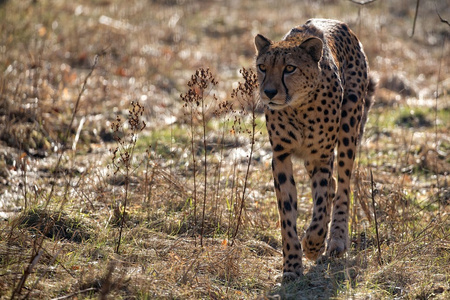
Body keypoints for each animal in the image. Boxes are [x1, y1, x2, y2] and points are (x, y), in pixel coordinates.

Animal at [255, 18, 374, 278]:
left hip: (349, 127)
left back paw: (337, 240)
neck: (298, 108)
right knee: (332, 185)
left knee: (342, 186)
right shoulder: (280, 156)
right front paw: (291, 266)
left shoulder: (322, 156)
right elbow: (287, 213)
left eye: (290, 68)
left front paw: (312, 245)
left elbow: (320, 206)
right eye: (262, 67)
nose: (269, 93)